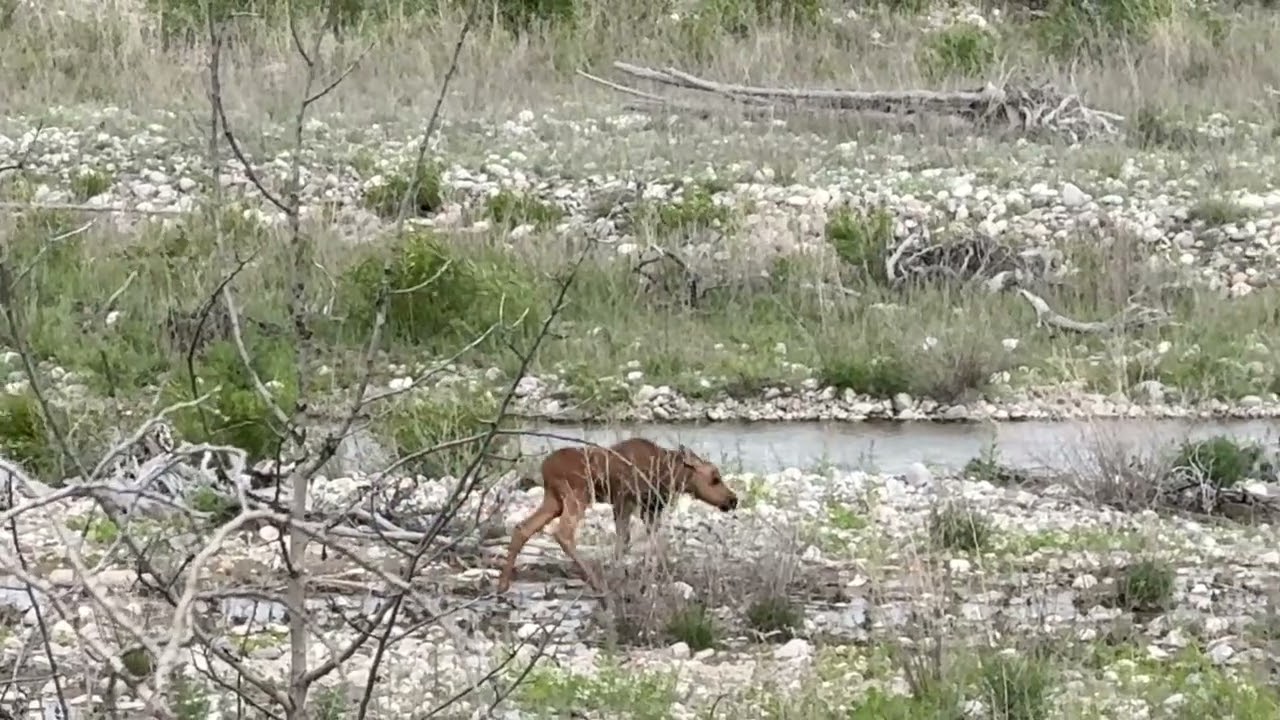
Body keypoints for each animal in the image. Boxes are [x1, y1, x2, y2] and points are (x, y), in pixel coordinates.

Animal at [495, 437, 738, 595]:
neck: (669, 475)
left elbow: (653, 542)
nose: (733, 499)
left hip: (553, 500)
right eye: (715, 478)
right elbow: (625, 541)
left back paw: (502, 585)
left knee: (522, 528)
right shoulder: (625, 501)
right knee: (563, 533)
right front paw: (622, 578)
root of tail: (544, 468)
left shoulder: (650, 508)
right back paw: (597, 583)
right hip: (577, 495)